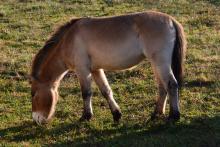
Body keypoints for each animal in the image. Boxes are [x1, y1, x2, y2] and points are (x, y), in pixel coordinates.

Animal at [30, 10, 186, 124]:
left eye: (33, 94)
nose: (36, 119)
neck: (69, 40)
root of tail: (171, 20)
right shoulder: (95, 70)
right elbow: (106, 91)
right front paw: (116, 114)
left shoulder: (82, 70)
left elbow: (86, 93)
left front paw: (86, 116)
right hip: (156, 64)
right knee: (162, 87)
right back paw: (156, 114)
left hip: (160, 62)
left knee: (171, 84)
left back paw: (174, 116)